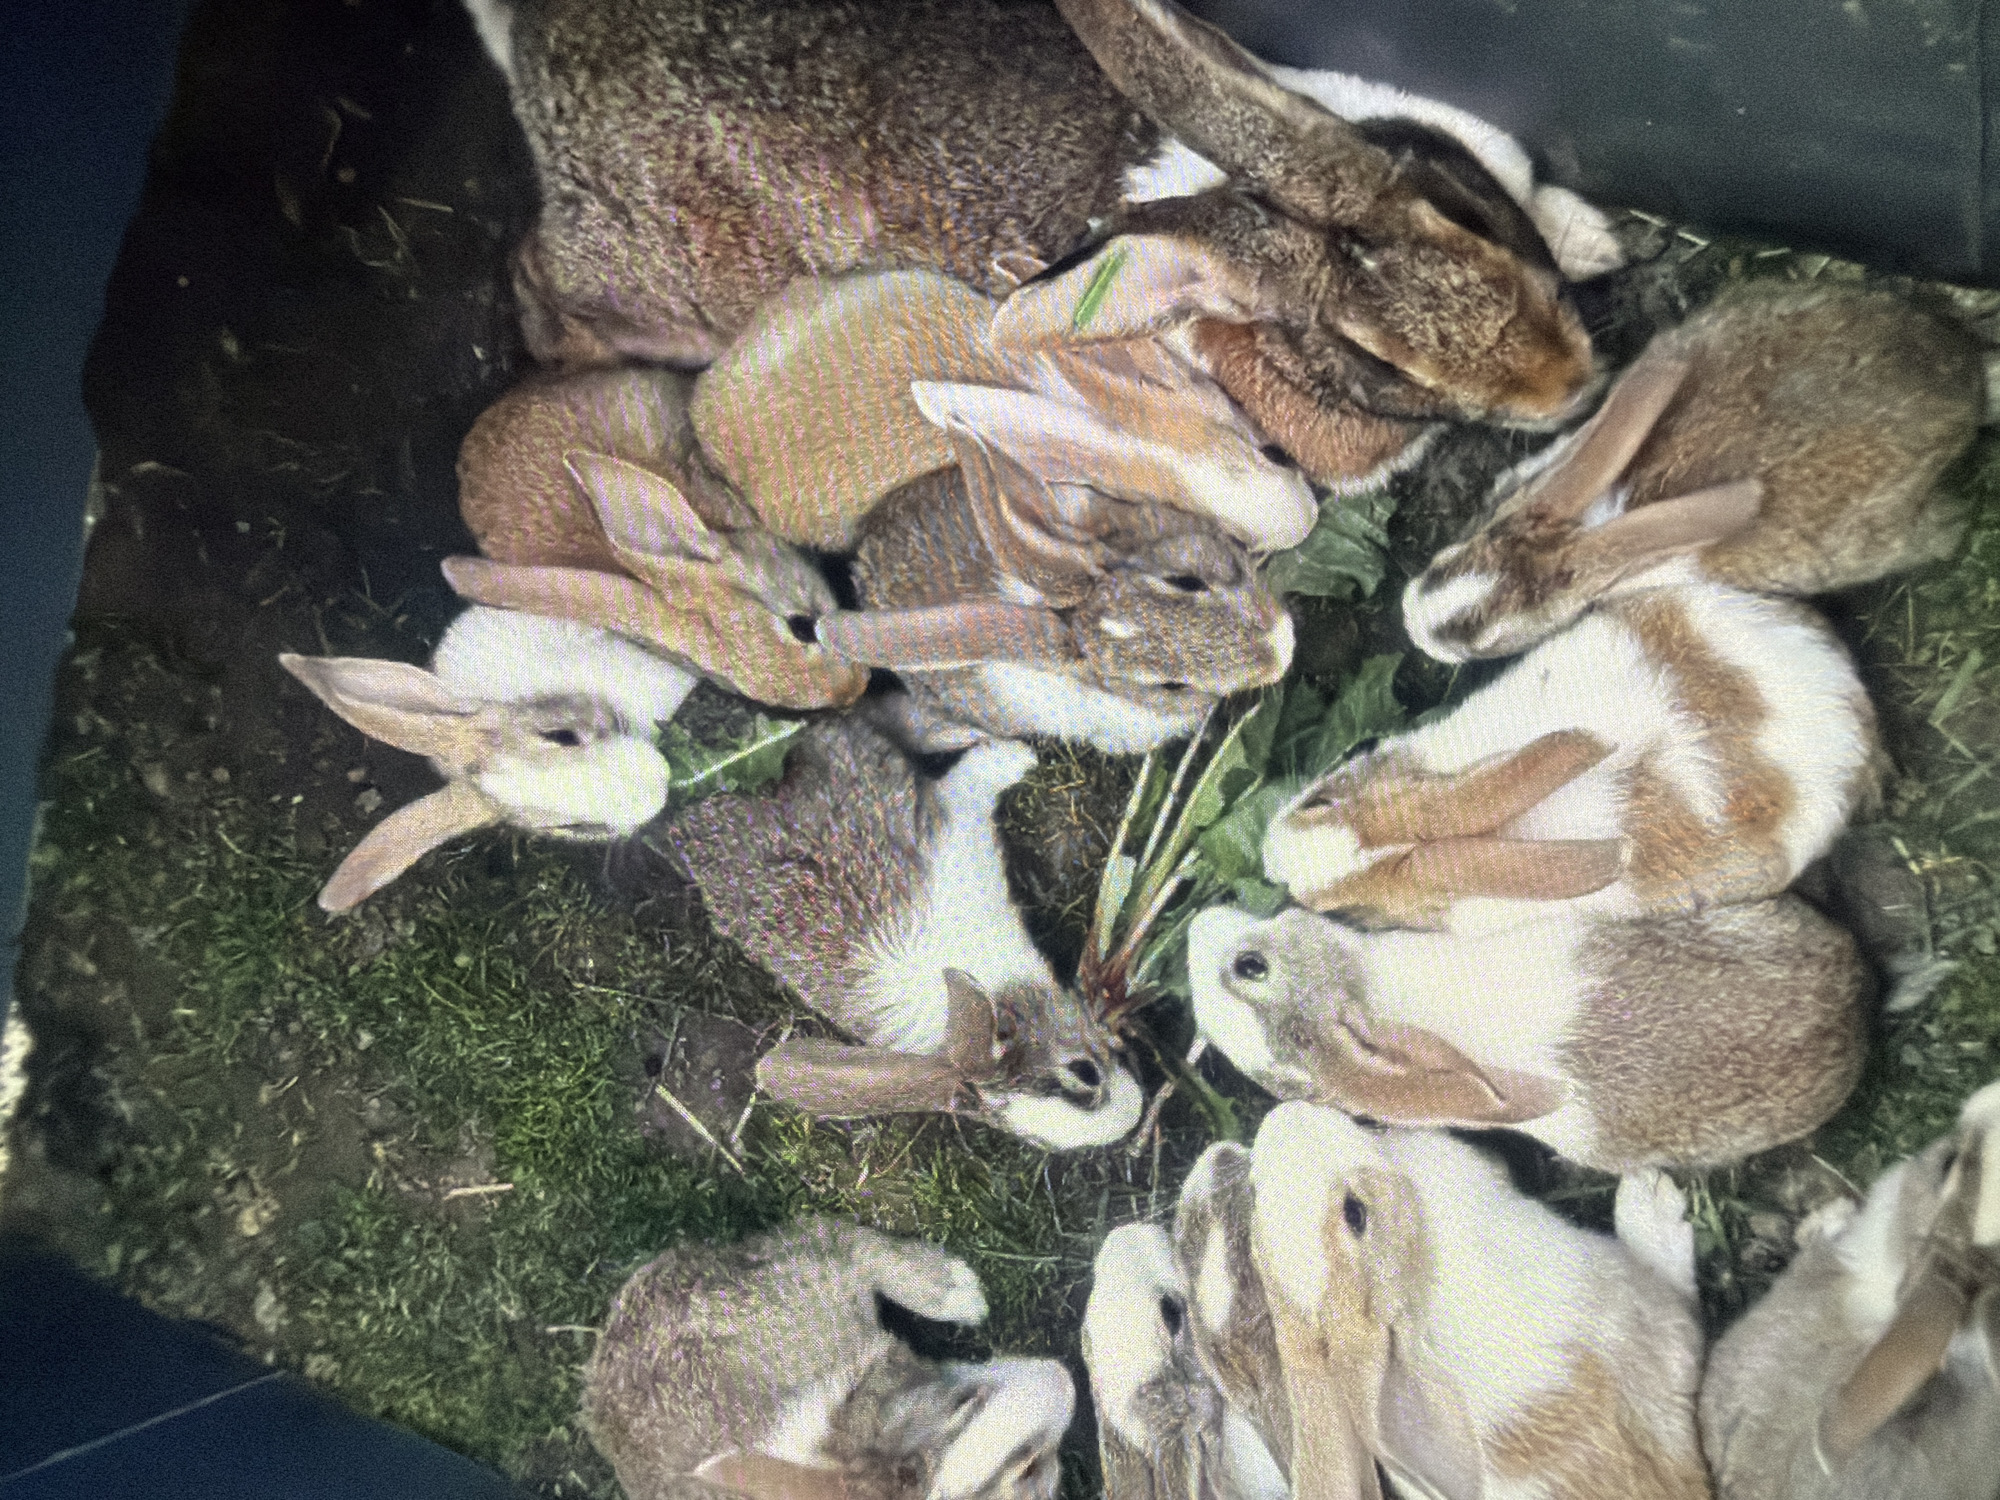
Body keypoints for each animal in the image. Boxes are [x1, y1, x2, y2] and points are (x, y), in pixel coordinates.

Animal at [661, 711, 1144, 1150]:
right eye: (1084, 1073)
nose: (1135, 1115)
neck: (998, 991)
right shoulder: (957, 819)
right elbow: (974, 778)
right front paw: (1018, 756)